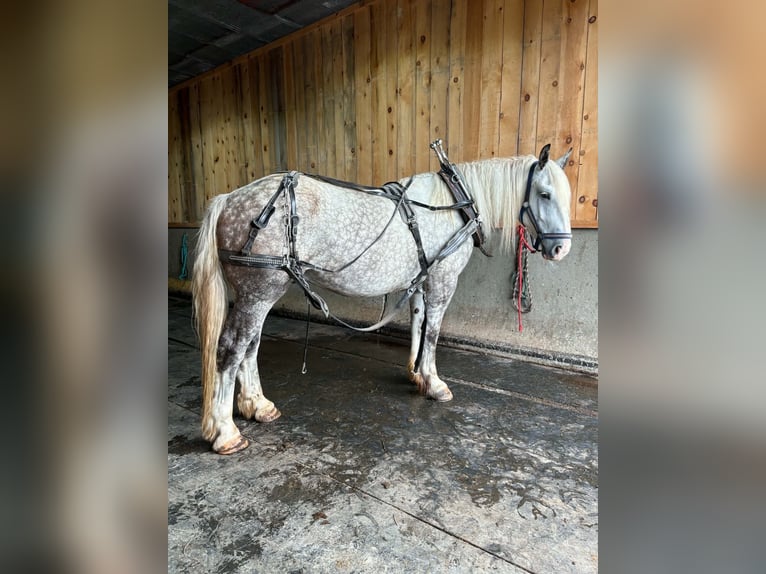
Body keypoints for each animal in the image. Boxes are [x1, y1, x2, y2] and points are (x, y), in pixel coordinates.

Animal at [192, 143, 574, 454]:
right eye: (544, 194)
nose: (560, 249)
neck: (452, 204)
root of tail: (230, 198)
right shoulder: (443, 280)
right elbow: (433, 332)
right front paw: (434, 383)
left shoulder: (420, 281)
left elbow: (418, 324)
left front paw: (417, 375)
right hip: (260, 292)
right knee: (231, 349)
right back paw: (225, 432)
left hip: (258, 294)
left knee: (250, 347)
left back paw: (257, 405)